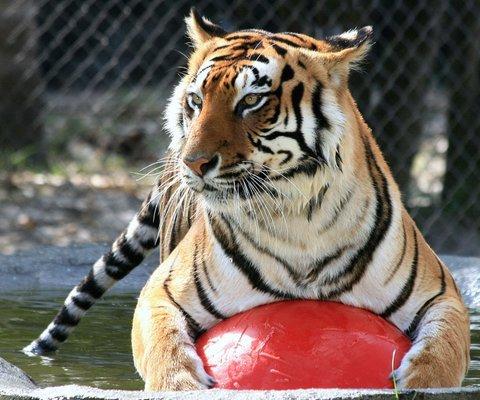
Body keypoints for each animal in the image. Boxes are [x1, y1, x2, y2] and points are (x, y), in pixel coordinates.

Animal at [24, 7, 470, 392]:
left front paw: (418, 383)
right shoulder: (162, 292)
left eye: (252, 101)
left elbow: (443, 353)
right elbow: (164, 350)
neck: (299, 216)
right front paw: (181, 385)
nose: (194, 162)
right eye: (196, 101)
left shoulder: (442, 295)